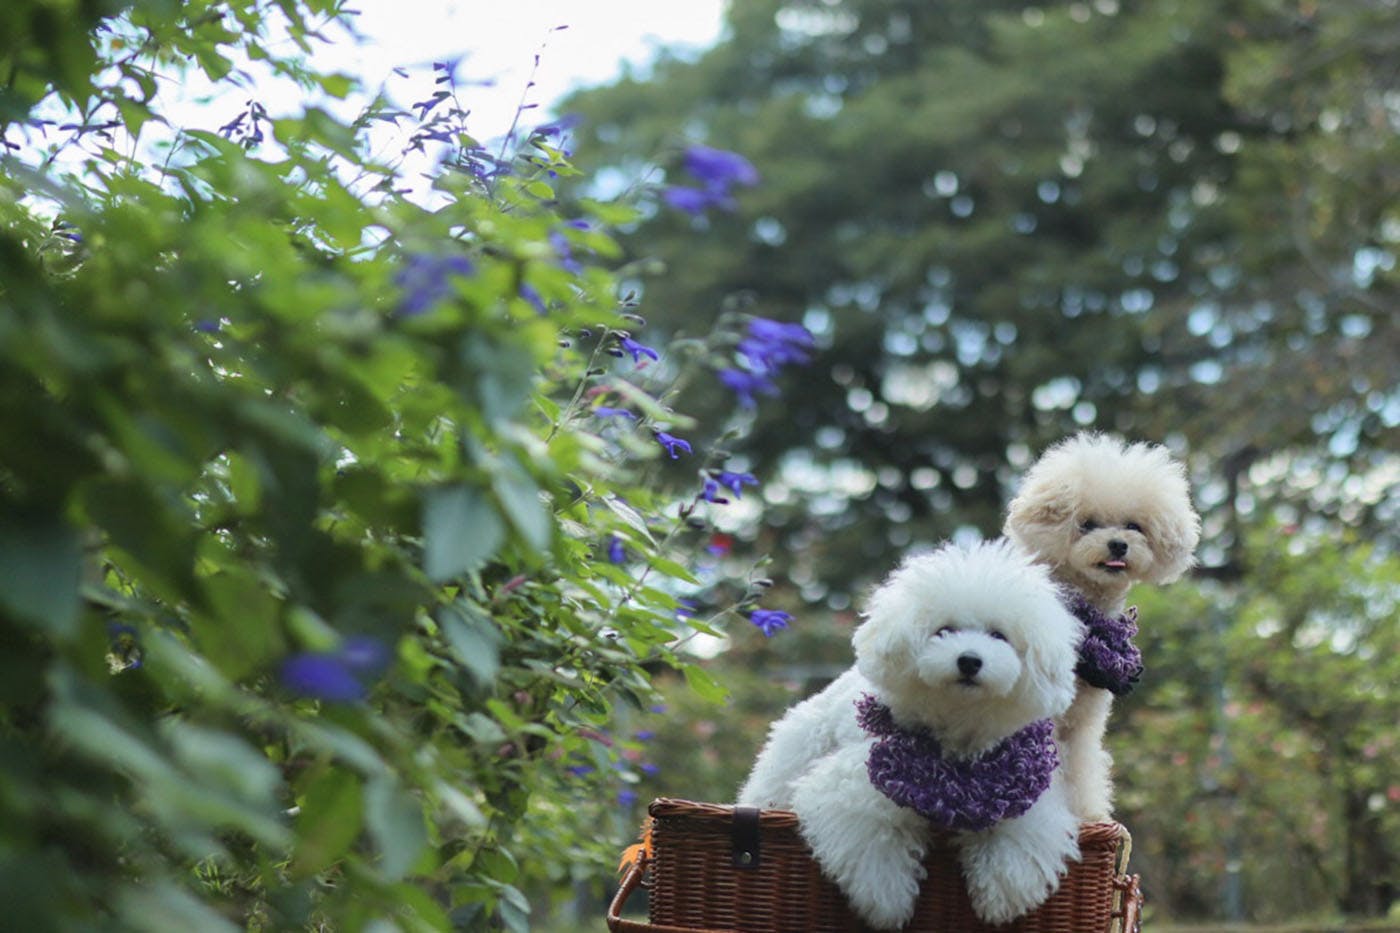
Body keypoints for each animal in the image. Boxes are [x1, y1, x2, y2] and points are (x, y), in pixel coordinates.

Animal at [744, 535, 1080, 924]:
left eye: (999, 636)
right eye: (943, 631)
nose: (969, 661)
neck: (957, 731)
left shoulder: (1022, 789)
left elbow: (1019, 838)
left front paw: (1004, 891)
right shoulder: (852, 789)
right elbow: (873, 840)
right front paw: (886, 902)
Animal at [1002, 431, 1198, 818]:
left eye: (1134, 526)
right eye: (1087, 524)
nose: (1118, 545)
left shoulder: (1082, 724)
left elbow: (1080, 768)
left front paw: (1088, 813)